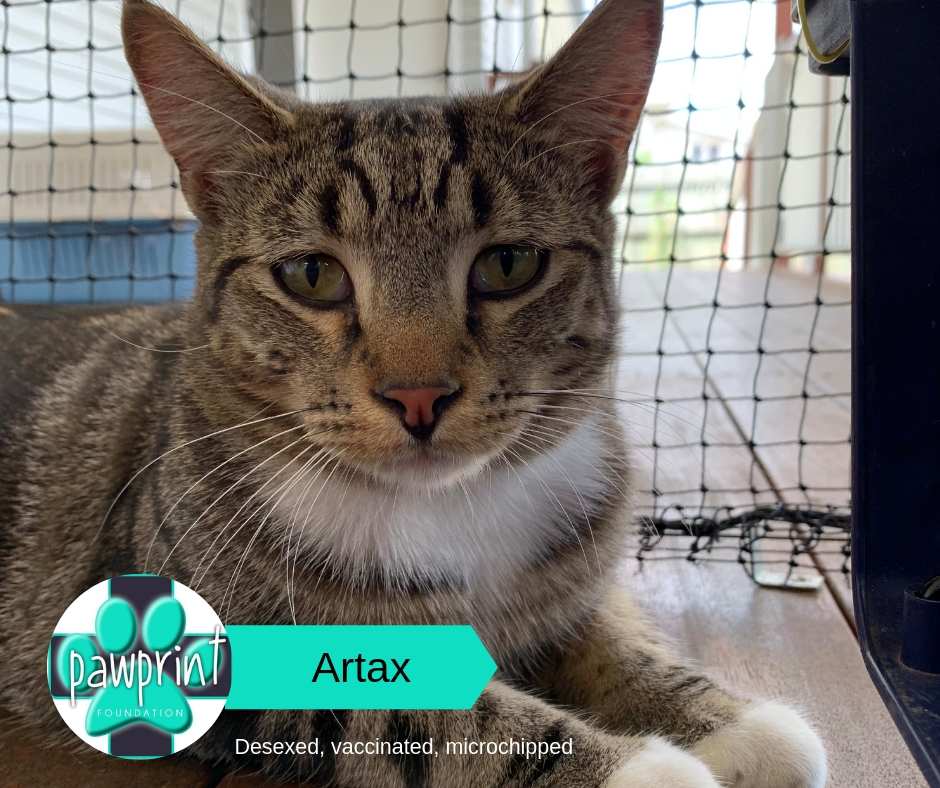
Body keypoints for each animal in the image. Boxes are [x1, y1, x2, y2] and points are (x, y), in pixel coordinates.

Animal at [0, 0, 828, 785]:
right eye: (311, 274)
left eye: (509, 264)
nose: (420, 396)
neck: (450, 508)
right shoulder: (227, 661)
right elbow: (426, 715)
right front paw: (639, 768)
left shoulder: (572, 575)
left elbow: (610, 634)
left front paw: (730, 722)